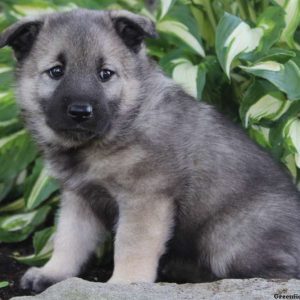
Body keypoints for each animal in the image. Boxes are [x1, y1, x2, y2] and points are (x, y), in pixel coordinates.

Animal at [0, 7, 300, 292]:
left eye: (105, 74)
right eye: (56, 71)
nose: (80, 112)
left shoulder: (145, 197)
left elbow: (130, 245)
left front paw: (124, 283)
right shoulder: (79, 198)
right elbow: (68, 238)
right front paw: (53, 273)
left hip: (227, 238)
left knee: (277, 272)